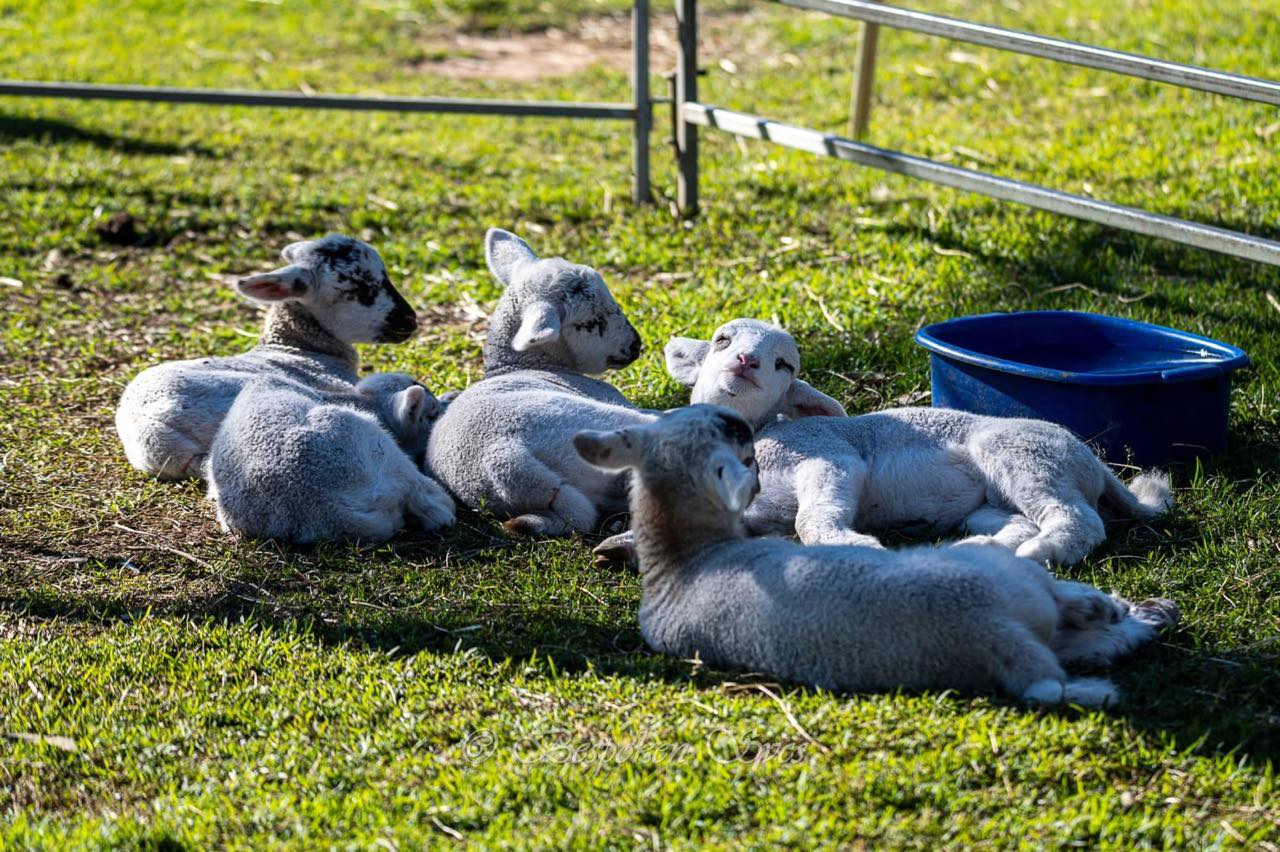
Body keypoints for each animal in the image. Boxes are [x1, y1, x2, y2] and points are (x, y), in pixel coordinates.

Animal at [665, 318, 1172, 562]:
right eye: (722, 339)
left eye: (784, 365)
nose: (747, 361)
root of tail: (1093, 462)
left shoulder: (829, 454)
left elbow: (812, 519)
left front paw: (857, 546)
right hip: (991, 501)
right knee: (1023, 522)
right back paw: (971, 550)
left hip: (1026, 455)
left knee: (1079, 519)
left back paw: (1042, 553)